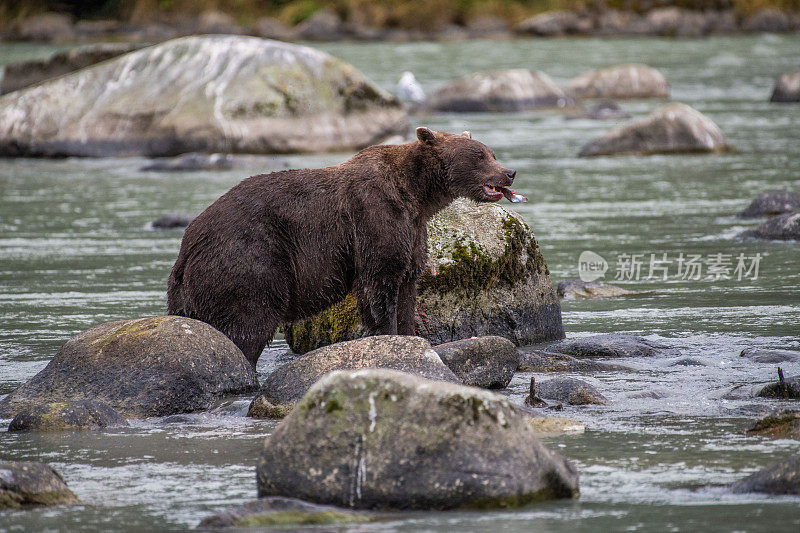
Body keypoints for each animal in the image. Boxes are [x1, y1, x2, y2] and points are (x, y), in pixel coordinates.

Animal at [167, 129, 520, 366]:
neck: (417, 195)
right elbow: (379, 286)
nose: (510, 172)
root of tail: (187, 246)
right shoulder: (375, 218)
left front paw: (412, 336)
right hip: (250, 258)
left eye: (490, 152)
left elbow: (408, 285)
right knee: (247, 324)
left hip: (187, 292)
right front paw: (388, 336)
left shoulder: (413, 231)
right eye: (479, 155)